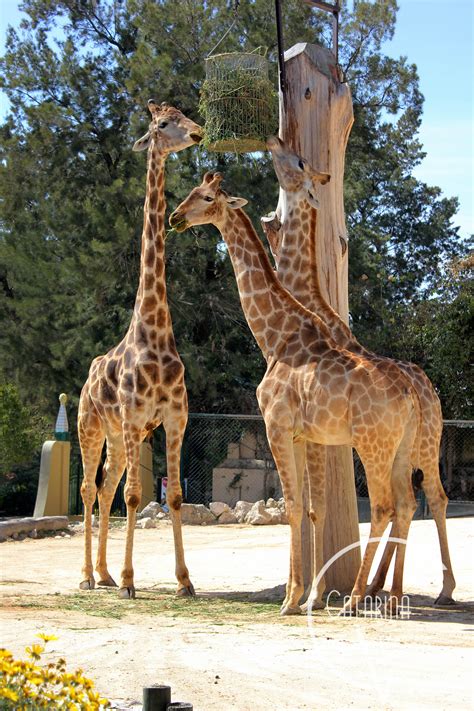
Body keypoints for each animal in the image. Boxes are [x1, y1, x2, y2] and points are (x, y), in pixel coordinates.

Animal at [170, 172, 422, 616]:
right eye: (189, 193)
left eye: (206, 197)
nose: (175, 218)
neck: (275, 339)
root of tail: (410, 394)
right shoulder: (307, 435)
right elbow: (311, 508)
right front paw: (309, 597)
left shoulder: (277, 427)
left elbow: (291, 507)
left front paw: (291, 599)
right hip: (402, 446)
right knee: (407, 504)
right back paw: (390, 599)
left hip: (372, 444)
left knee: (383, 506)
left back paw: (355, 599)